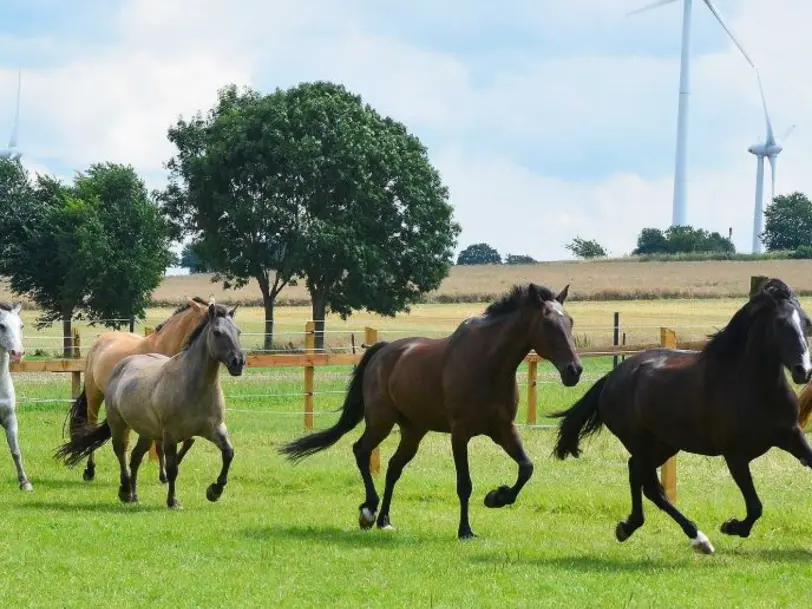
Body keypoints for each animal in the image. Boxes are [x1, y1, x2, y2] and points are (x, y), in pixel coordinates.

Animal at [66, 296, 209, 482]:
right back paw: (91, 470)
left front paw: (165, 472)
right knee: (94, 427)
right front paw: (163, 474)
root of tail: (100, 341)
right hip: (95, 395)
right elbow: (160, 444)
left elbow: (182, 440)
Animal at [280, 282, 584, 540]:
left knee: (393, 467)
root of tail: (382, 351)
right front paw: (465, 530)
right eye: (548, 324)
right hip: (381, 422)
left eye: (570, 322)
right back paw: (368, 511)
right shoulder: (460, 433)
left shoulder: (503, 429)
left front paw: (497, 497)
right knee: (361, 451)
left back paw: (384, 519)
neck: (489, 365)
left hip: (413, 430)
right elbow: (464, 484)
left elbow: (526, 467)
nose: (574, 371)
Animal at [552, 278, 812, 552]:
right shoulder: (735, 456)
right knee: (648, 485)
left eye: (807, 322)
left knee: (642, 479)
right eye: (780, 323)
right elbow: (755, 507)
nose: (803, 370)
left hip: (664, 446)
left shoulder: (792, 437)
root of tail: (612, 377)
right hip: (642, 444)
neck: (756, 389)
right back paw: (693, 538)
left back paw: (637, 528)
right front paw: (731, 526)